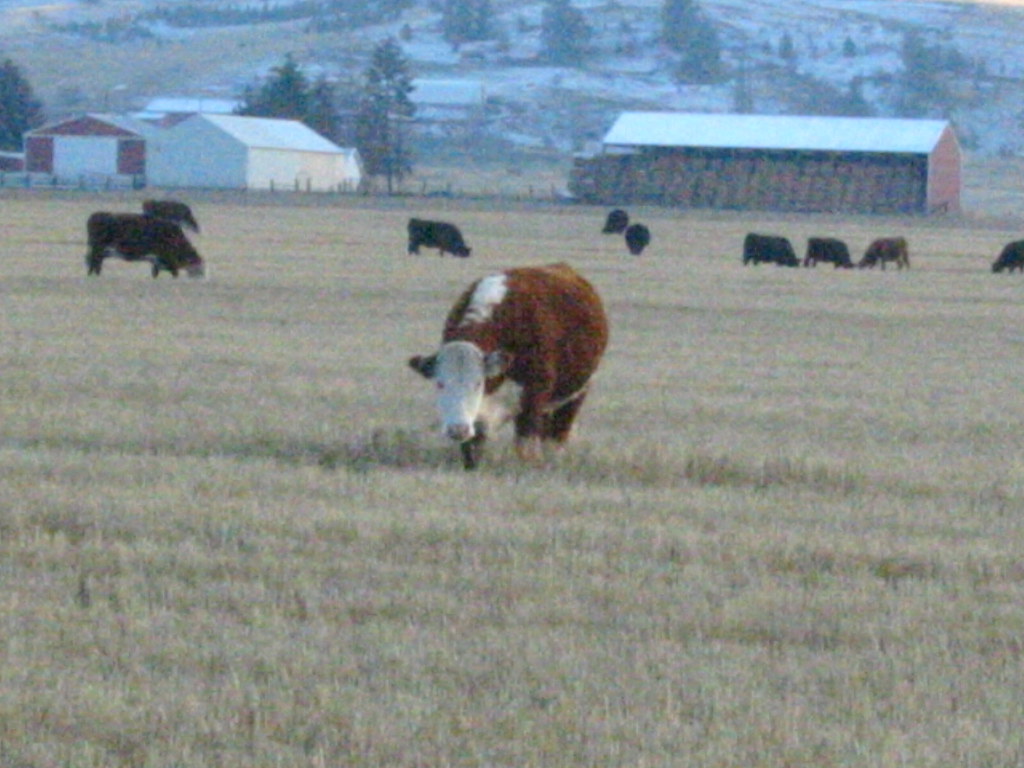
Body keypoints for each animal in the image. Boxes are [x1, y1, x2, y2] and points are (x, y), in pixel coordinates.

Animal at [408, 263, 609, 470]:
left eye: (478, 383)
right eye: (440, 383)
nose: (458, 430)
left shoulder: (533, 400)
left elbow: (525, 447)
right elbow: (472, 448)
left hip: (577, 393)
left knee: (557, 434)